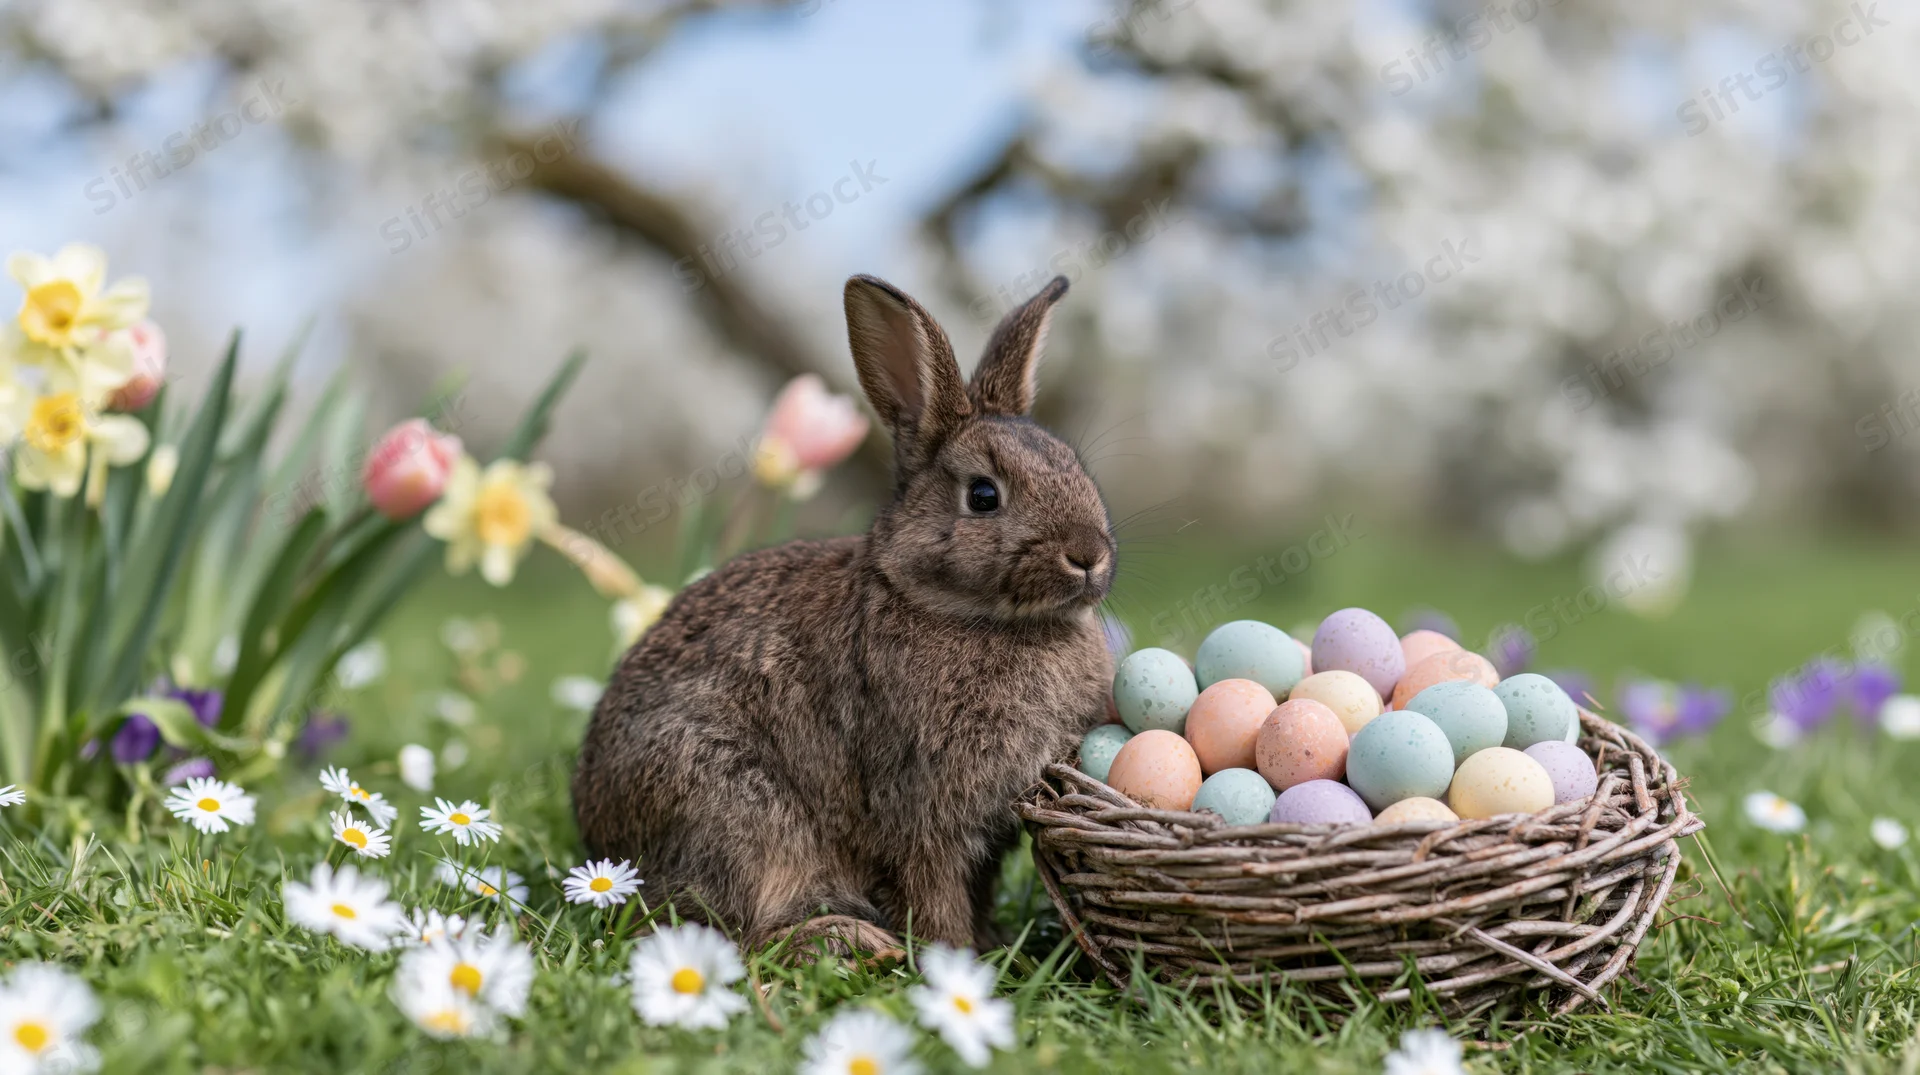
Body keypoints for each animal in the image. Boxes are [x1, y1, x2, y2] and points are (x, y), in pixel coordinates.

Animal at [572, 273, 1115, 955]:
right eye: (984, 495)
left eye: (1076, 468)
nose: (1089, 554)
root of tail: (600, 841)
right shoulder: (920, 809)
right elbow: (933, 890)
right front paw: (956, 956)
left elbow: (979, 889)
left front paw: (990, 945)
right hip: (738, 810)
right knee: (737, 933)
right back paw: (855, 941)